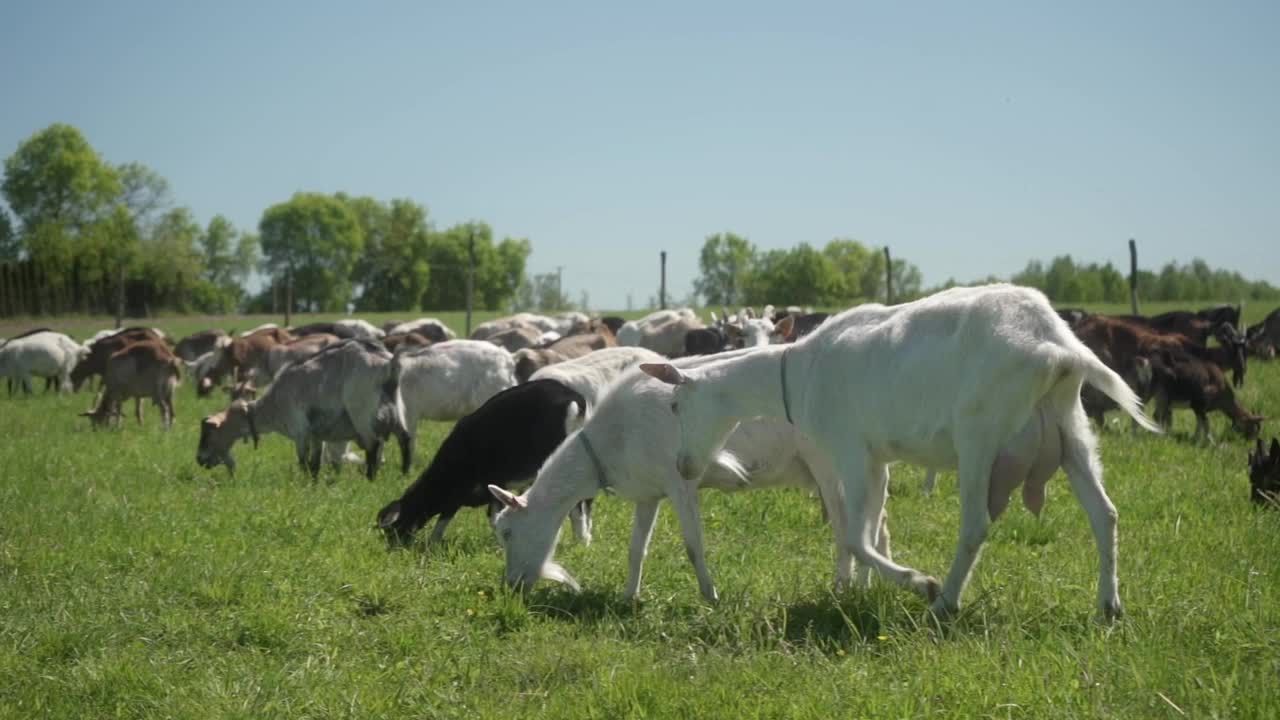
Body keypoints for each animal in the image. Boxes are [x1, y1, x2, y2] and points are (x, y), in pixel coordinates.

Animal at [194, 338, 409, 479]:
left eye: (207, 435)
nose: (199, 460)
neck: (272, 407)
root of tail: (388, 365)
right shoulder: (316, 434)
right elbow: (314, 464)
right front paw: (313, 484)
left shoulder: (300, 431)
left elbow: (303, 462)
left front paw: (304, 485)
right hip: (396, 408)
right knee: (405, 439)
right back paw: (404, 474)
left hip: (362, 411)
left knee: (373, 446)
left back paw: (370, 479)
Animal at [373, 381, 593, 543]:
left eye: (394, 527)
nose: (394, 545)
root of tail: (575, 400)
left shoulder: (490, 483)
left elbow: (489, 517)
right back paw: (582, 539)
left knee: (577, 504)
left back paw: (580, 539)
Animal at [640, 281, 1162, 617]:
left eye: (675, 405)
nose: (685, 464)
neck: (798, 372)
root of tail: (1056, 348)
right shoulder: (877, 459)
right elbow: (871, 527)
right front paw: (861, 592)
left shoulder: (849, 450)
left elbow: (854, 535)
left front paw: (915, 582)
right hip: (1072, 431)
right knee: (1105, 513)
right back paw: (1109, 606)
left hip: (980, 435)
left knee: (975, 525)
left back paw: (943, 602)